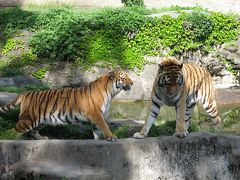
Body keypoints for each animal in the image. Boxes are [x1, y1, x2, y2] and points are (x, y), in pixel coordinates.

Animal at [0, 69, 133, 141]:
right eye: (124, 78)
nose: (132, 82)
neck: (111, 92)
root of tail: (26, 92)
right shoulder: (96, 113)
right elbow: (104, 126)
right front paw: (111, 137)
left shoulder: (97, 116)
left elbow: (97, 131)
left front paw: (99, 139)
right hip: (29, 119)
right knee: (15, 129)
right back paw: (11, 137)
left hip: (41, 120)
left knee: (32, 131)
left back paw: (43, 138)